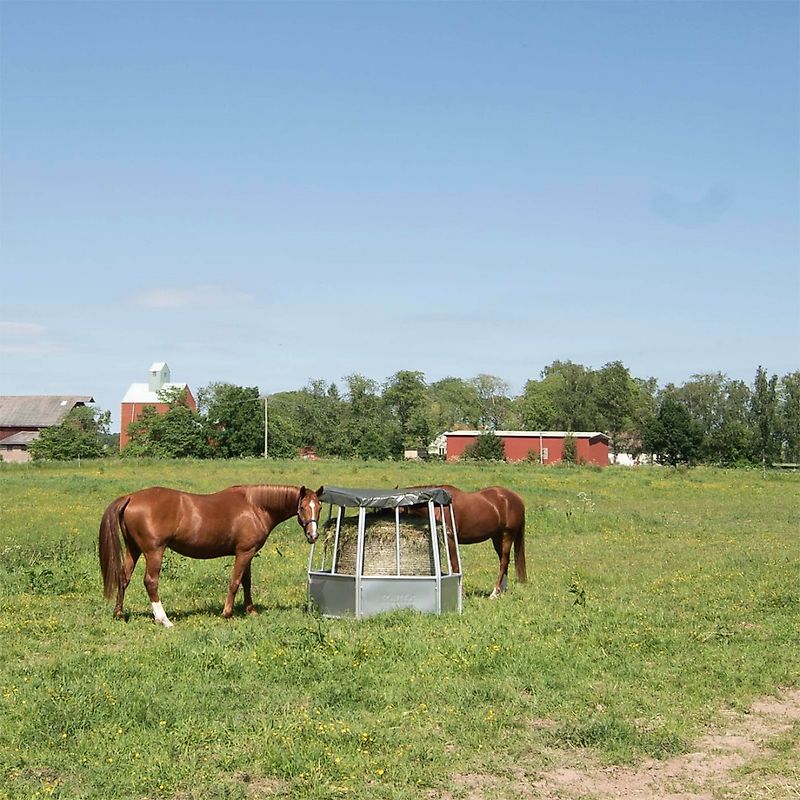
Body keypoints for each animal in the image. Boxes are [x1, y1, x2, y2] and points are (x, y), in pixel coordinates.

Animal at [99, 484, 322, 628]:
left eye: (319, 507)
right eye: (303, 507)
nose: (313, 535)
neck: (255, 506)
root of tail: (131, 497)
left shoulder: (248, 553)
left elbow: (246, 582)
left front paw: (251, 610)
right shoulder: (244, 553)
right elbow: (235, 582)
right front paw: (227, 613)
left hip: (133, 549)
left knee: (124, 578)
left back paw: (119, 613)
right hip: (154, 552)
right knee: (150, 582)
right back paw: (164, 620)